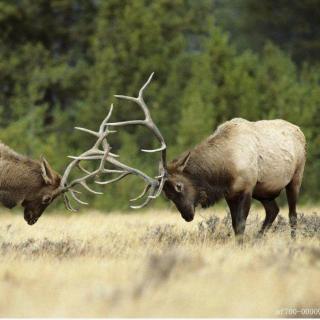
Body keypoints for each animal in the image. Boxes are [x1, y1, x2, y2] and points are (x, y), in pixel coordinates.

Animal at [104, 74, 304, 239]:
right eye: (167, 195)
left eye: (179, 186)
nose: (187, 215)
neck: (224, 170)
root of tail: (299, 130)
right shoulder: (230, 193)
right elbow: (235, 226)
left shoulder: (247, 187)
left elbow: (241, 225)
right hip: (264, 190)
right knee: (273, 210)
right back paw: (258, 239)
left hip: (295, 177)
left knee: (292, 215)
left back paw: (292, 241)